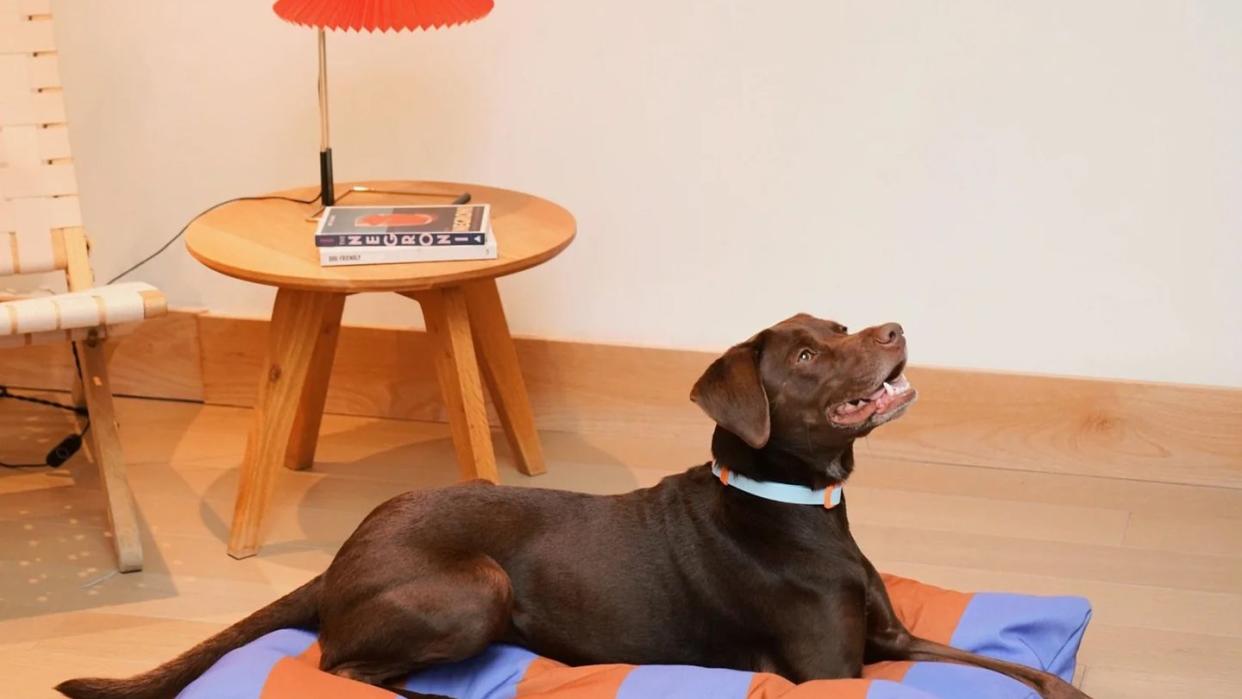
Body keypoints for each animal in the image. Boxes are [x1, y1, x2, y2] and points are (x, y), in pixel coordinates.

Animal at [58, 317, 1087, 699]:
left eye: (840, 326)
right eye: (806, 355)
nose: (895, 327)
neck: (796, 500)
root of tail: (341, 555)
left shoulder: (894, 638)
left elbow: (1009, 664)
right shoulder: (835, 672)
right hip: (473, 586)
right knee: (336, 665)